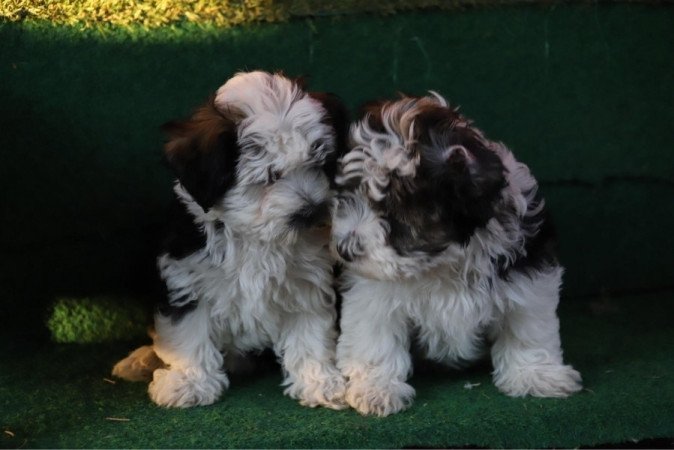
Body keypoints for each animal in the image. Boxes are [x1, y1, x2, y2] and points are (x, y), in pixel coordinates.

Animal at [111, 69, 350, 408]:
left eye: (320, 165)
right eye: (270, 176)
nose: (312, 211)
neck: (255, 236)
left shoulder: (307, 282)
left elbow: (311, 333)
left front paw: (319, 381)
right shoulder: (186, 277)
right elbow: (189, 333)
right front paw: (189, 382)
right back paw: (140, 360)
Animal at [330, 93, 576, 416]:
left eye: (396, 214)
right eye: (350, 195)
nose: (344, 248)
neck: (443, 261)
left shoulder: (528, 272)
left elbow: (527, 324)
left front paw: (535, 375)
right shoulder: (371, 291)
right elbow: (373, 333)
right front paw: (375, 387)